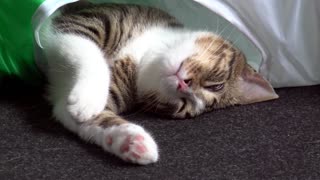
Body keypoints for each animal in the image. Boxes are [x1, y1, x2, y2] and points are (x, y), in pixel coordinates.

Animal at [42, 1, 278, 165]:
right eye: (216, 85)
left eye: (183, 106)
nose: (184, 86)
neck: (146, 51)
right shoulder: (85, 20)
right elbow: (87, 49)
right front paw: (88, 99)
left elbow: (77, 115)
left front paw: (132, 141)